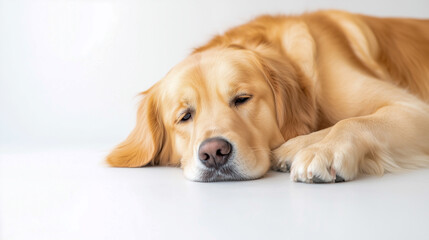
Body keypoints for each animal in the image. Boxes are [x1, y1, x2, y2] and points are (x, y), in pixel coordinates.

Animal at [106, 8, 428, 182]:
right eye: (185, 116)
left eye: (242, 99)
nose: (213, 153)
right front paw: (297, 147)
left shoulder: (414, 108)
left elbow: (353, 122)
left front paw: (322, 150)